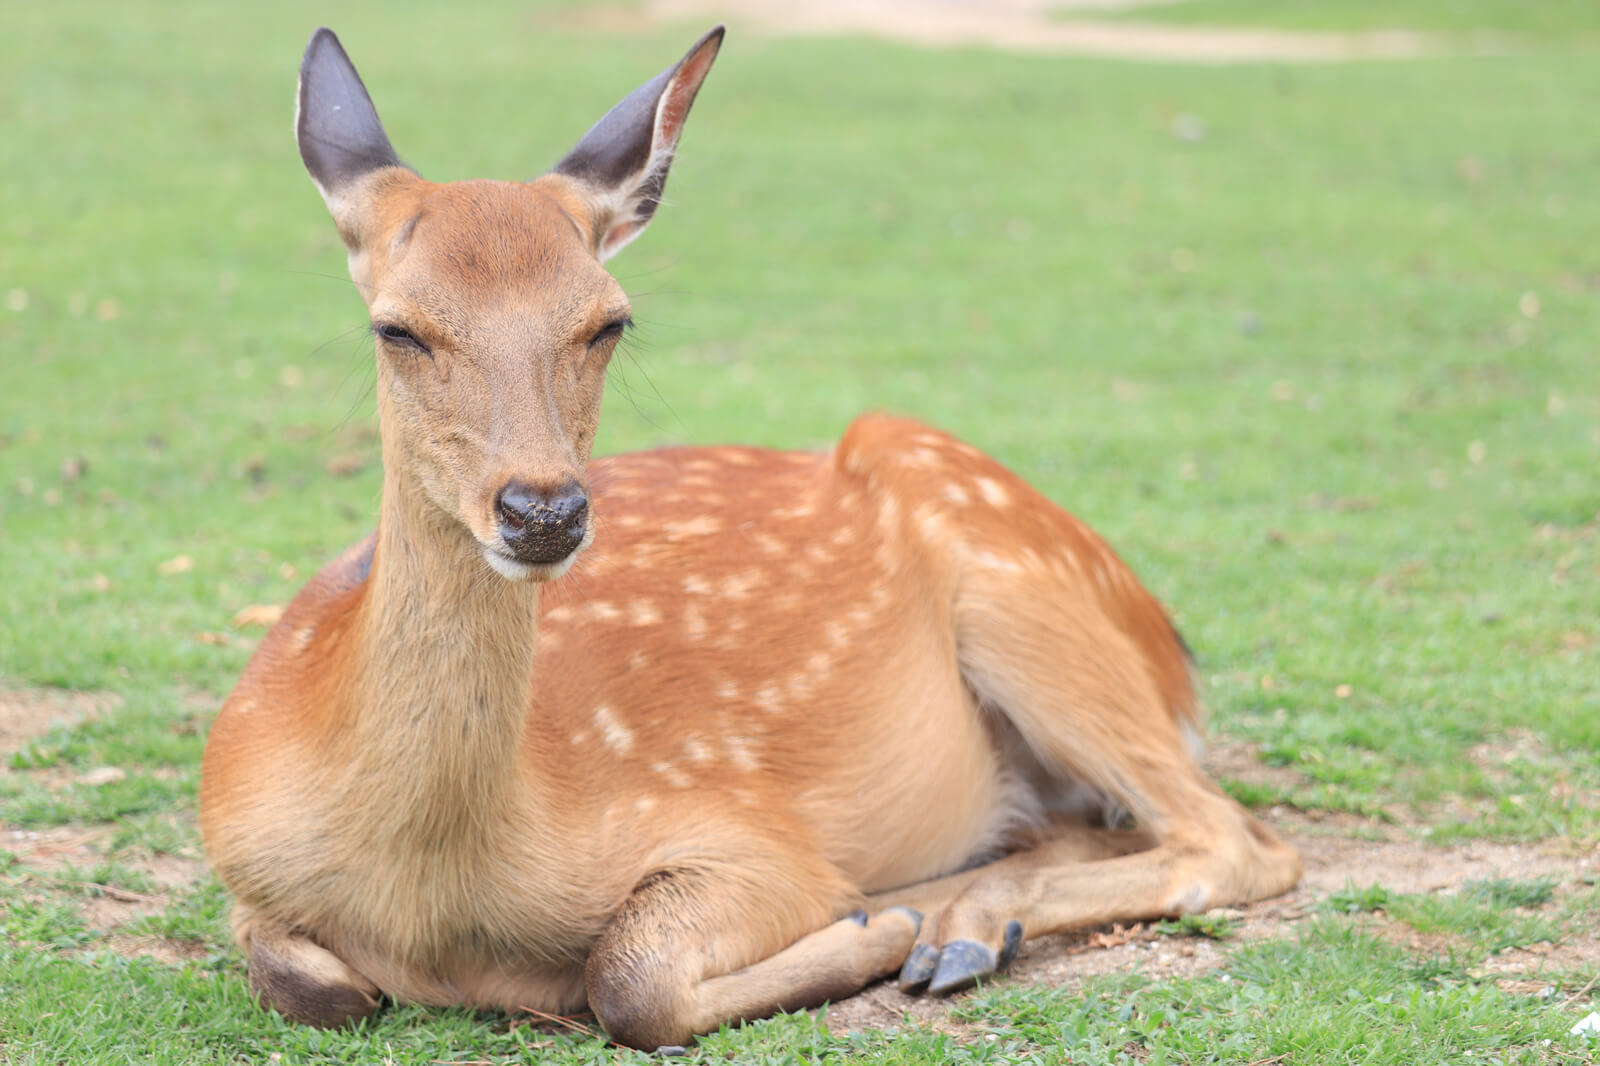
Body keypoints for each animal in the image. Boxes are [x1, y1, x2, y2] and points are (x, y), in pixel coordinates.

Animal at [200, 24, 1299, 1043]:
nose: (543, 510)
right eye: (397, 328)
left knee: (1238, 838)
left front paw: (876, 925)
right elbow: (311, 980)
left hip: (1021, 584)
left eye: (608, 322)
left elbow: (628, 976)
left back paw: (948, 925)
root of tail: (1171, 648)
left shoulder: (748, 832)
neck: (439, 895)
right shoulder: (240, 867)